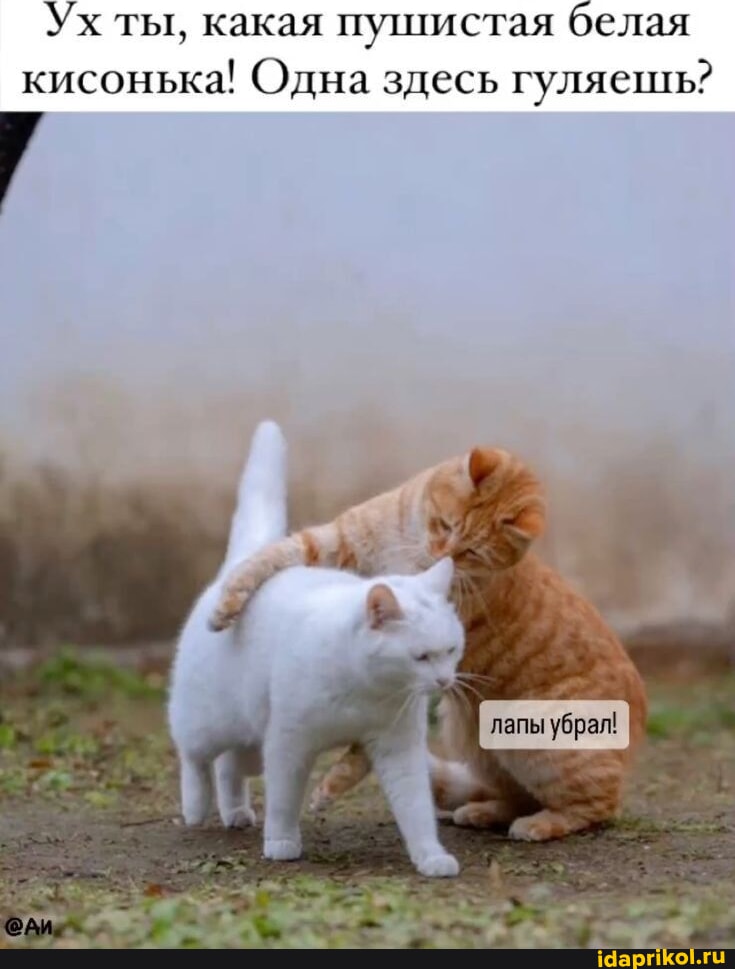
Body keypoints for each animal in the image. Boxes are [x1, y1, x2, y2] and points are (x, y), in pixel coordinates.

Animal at [167, 420, 466, 876]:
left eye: (451, 650)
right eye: (422, 657)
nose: (445, 681)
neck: (368, 688)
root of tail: (240, 564)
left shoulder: (399, 748)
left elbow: (416, 808)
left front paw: (430, 856)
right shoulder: (288, 743)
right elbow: (284, 800)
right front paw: (281, 842)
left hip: (251, 738)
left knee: (230, 766)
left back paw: (235, 812)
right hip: (211, 722)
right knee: (196, 757)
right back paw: (197, 808)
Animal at [207, 444, 648, 842]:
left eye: (471, 552)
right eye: (445, 524)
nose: (441, 555)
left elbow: (361, 751)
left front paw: (333, 783)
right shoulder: (334, 543)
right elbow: (269, 557)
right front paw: (226, 603)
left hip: (535, 740)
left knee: (595, 805)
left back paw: (539, 824)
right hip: (475, 740)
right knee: (516, 794)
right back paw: (482, 812)